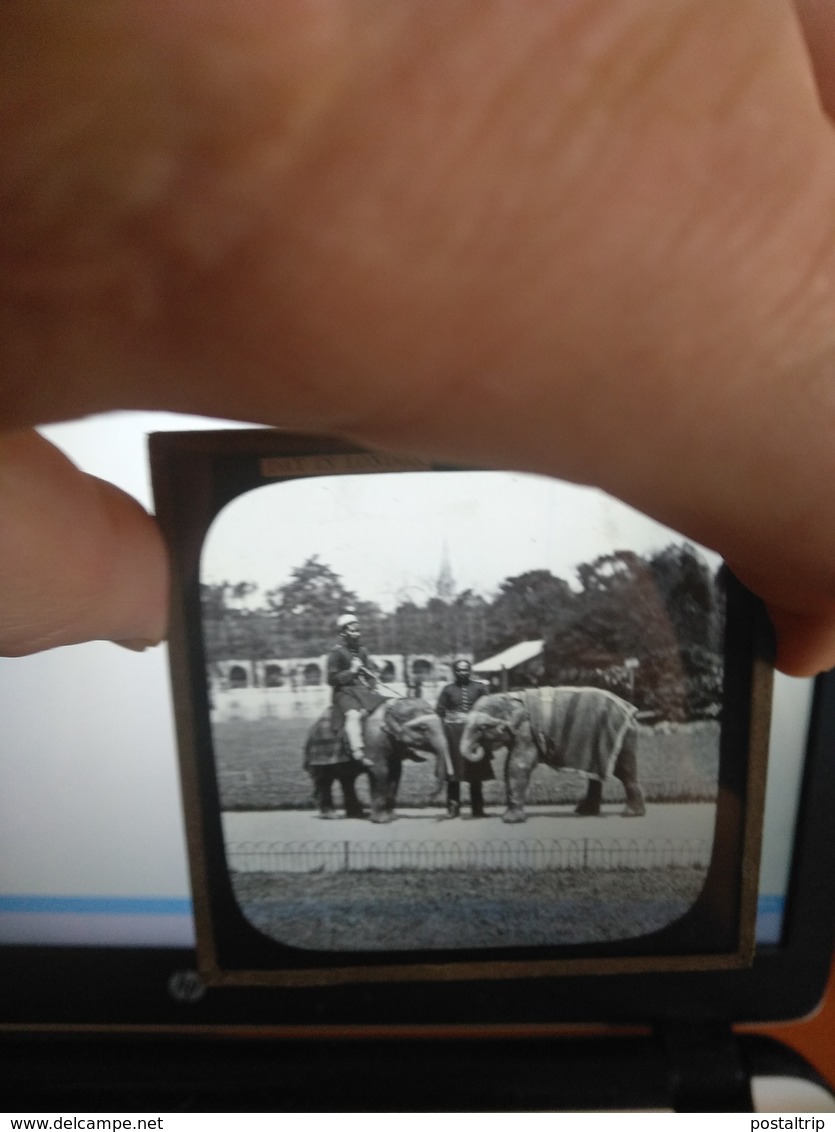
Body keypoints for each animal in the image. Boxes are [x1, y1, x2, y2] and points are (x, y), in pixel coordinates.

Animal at [303, 697, 448, 824]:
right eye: (423, 728)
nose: (429, 797)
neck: (391, 708)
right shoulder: (374, 739)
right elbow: (380, 771)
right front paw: (382, 821)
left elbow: (396, 773)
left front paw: (392, 818)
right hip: (320, 754)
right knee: (325, 780)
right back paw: (331, 816)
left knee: (347, 780)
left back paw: (357, 815)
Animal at [454, 679, 642, 824]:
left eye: (482, 727)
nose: (479, 748)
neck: (510, 698)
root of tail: (630, 710)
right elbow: (512, 764)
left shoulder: (527, 731)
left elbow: (518, 765)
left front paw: (510, 820)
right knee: (598, 774)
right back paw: (586, 811)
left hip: (622, 737)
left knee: (624, 771)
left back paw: (630, 814)